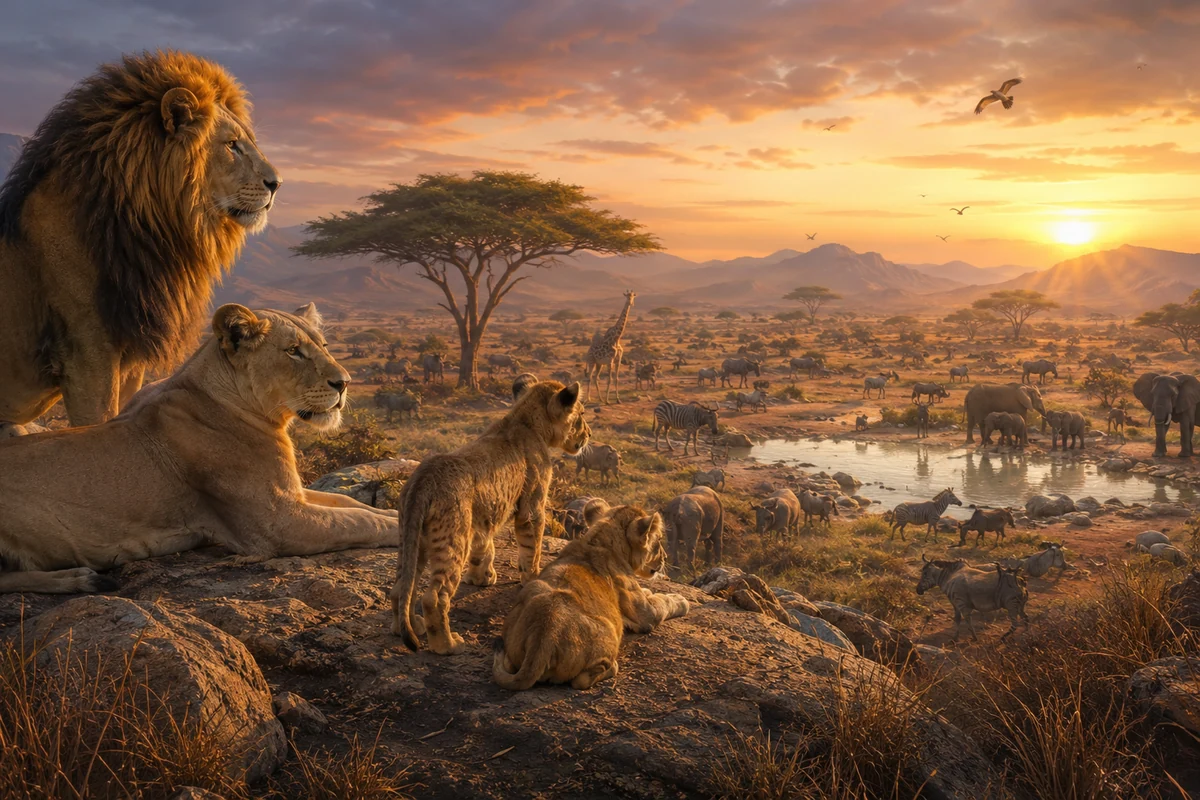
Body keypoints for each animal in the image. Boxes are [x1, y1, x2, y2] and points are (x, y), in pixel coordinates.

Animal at [0, 303, 397, 594]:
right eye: (294, 352)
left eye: (324, 347)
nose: (345, 383)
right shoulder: (276, 524)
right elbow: (355, 520)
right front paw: (396, 527)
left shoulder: (291, 495)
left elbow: (348, 503)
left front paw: (393, 512)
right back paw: (79, 578)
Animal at [389, 375, 591, 655]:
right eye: (581, 414)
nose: (589, 435)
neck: (525, 420)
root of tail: (423, 479)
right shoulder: (531, 508)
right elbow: (532, 548)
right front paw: (532, 578)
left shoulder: (482, 517)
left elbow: (484, 546)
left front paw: (481, 578)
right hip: (453, 539)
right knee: (434, 597)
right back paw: (448, 645)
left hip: (412, 540)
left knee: (401, 588)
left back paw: (409, 626)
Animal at [492, 504, 690, 691]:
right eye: (658, 540)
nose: (665, 557)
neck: (598, 541)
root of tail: (542, 639)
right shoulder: (645, 615)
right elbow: (664, 602)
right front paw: (681, 600)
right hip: (609, 628)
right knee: (580, 681)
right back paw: (612, 667)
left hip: (529, 597)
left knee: (508, 663)